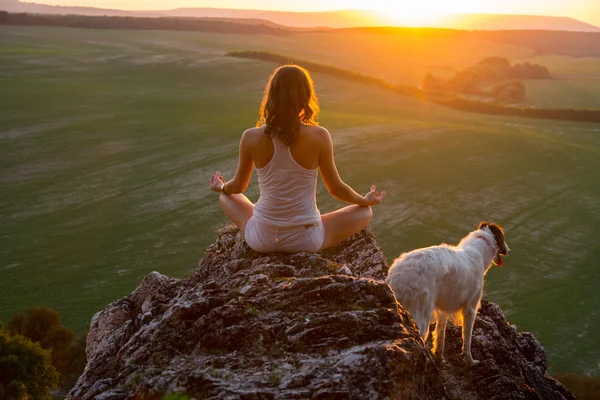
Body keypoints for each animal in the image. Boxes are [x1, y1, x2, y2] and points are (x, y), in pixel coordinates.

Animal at [384, 222, 510, 366]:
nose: (509, 250)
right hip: (421, 313)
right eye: (503, 237)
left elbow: (440, 336)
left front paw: (440, 359)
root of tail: (395, 276)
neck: (479, 248)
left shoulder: (443, 311)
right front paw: (470, 361)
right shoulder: (470, 309)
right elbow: (467, 341)